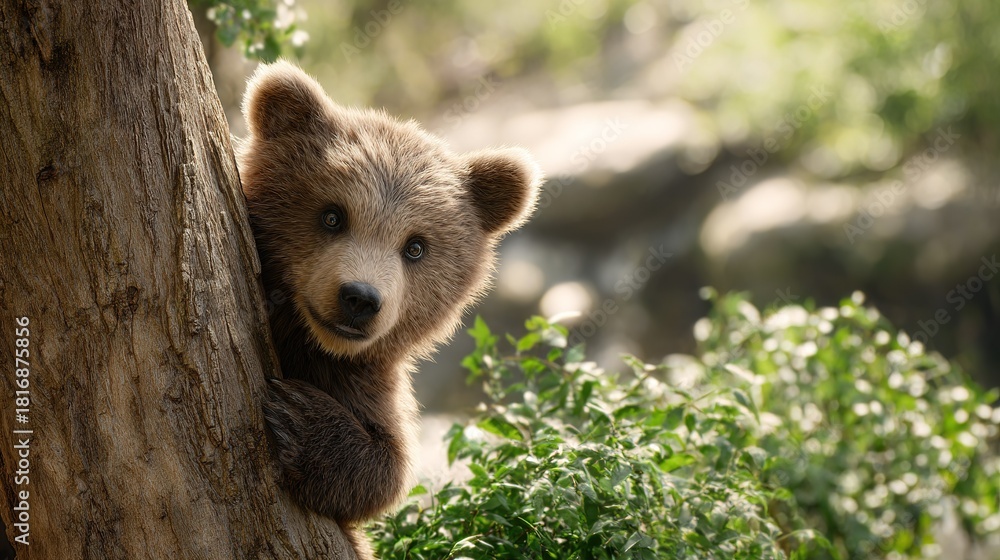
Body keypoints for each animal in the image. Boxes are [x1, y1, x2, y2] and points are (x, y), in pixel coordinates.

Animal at [235, 61, 542, 558]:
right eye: (333, 215)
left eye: (415, 246)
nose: (360, 298)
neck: (304, 338)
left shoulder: (361, 375)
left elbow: (386, 472)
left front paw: (298, 418)